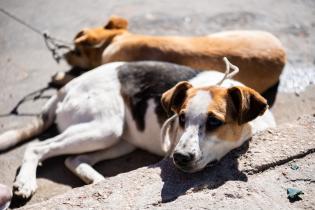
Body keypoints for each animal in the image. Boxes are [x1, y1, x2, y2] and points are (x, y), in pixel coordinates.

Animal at [0, 58, 276, 199]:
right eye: (181, 118)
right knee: (37, 147)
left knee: (73, 159)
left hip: (120, 140)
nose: (179, 157)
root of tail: (68, 86)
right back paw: (25, 182)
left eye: (215, 122)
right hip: (105, 128)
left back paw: (98, 182)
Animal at [55, 15, 288, 93]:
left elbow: (78, 76)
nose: (63, 56)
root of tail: (283, 52)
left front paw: (59, 77)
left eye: (76, 51)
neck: (115, 39)